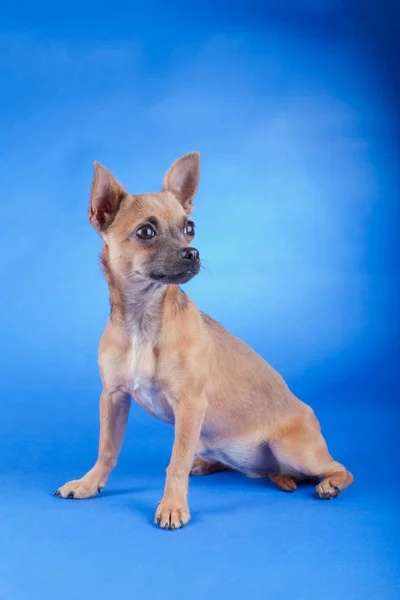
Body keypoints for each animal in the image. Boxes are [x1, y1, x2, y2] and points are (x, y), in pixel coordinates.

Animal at [55, 152, 354, 528]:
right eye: (146, 231)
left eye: (190, 228)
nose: (192, 252)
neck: (143, 320)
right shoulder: (113, 397)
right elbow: (107, 449)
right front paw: (89, 483)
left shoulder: (189, 405)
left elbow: (175, 461)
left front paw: (172, 505)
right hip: (210, 440)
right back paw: (208, 464)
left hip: (295, 451)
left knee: (340, 468)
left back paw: (331, 484)